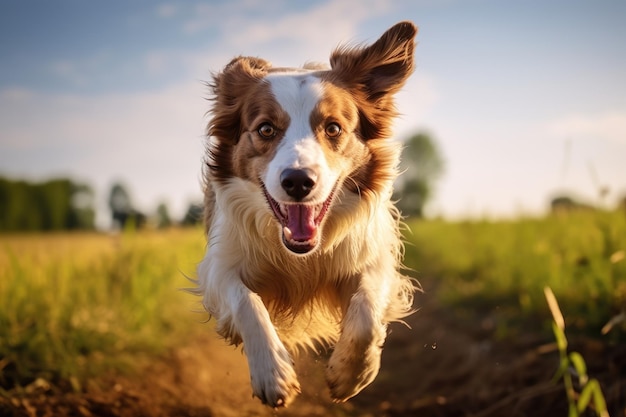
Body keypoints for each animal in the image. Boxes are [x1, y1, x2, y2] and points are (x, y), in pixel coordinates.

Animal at [195, 22, 416, 406]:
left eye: (333, 128)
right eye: (266, 128)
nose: (298, 181)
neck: (301, 259)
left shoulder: (371, 259)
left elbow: (367, 313)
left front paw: (350, 374)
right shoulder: (220, 265)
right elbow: (247, 302)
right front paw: (273, 373)